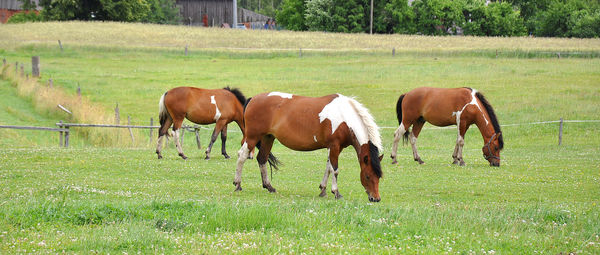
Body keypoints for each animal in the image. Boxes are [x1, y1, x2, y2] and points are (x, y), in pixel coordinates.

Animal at [234, 92, 384, 202]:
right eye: (367, 176)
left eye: (379, 177)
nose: (375, 198)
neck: (344, 117)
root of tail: (253, 99)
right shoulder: (334, 146)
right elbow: (335, 170)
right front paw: (336, 192)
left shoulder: (333, 148)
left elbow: (328, 168)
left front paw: (323, 190)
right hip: (252, 137)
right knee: (242, 156)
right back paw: (237, 184)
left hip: (268, 138)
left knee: (262, 159)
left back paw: (269, 186)